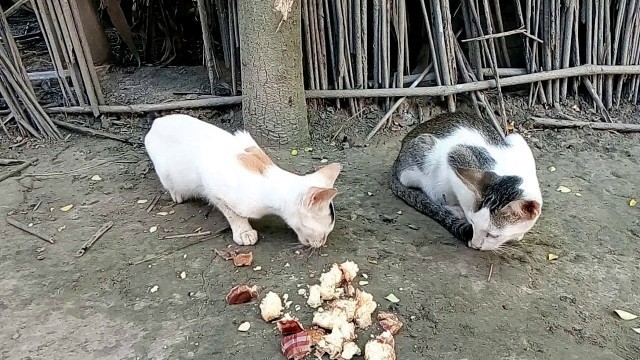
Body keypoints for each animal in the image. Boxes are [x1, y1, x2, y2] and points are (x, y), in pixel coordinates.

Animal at [143, 114, 342, 248]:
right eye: (323, 232)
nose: (323, 242)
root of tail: (157, 121)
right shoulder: (213, 186)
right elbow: (233, 213)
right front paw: (244, 232)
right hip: (166, 173)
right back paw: (178, 194)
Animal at [390, 112, 540, 250]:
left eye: (493, 235)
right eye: (473, 223)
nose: (476, 245)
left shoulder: (517, 139)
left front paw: (519, 234)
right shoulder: (456, 155)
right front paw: (462, 214)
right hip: (425, 154)